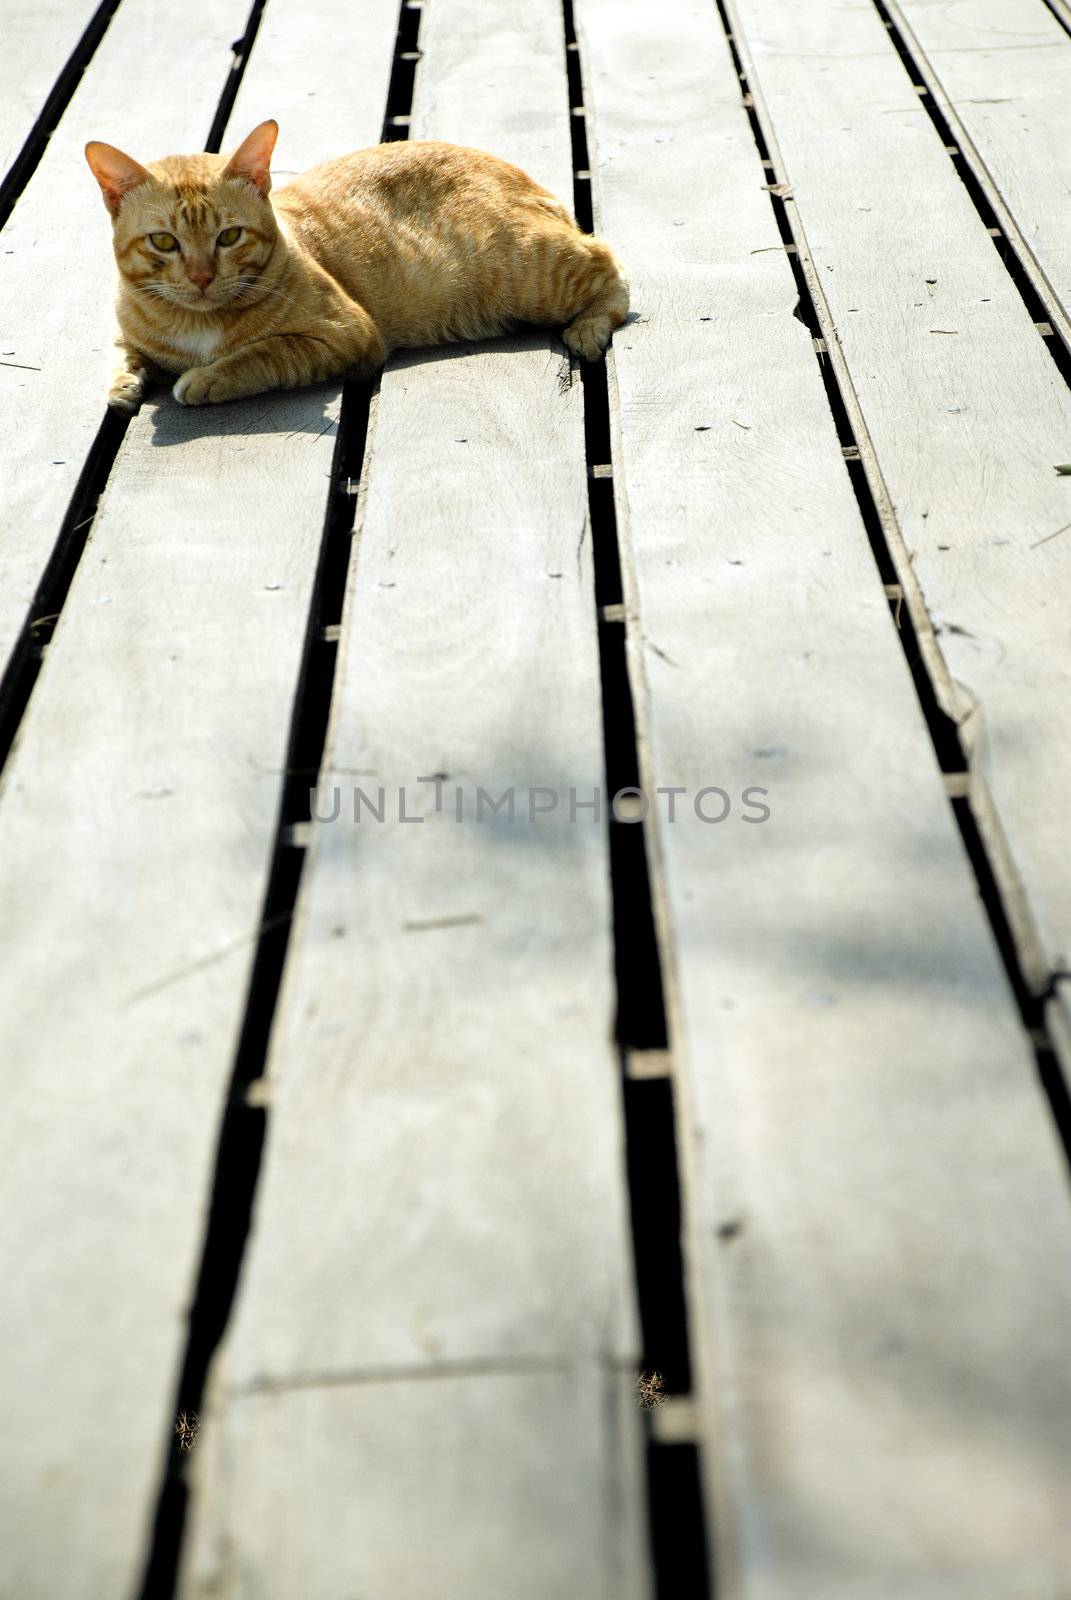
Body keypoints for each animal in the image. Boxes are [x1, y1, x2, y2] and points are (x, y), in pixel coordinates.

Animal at [87, 123, 630, 412]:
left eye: (229, 236)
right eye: (163, 242)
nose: (201, 278)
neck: (195, 323)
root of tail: (526, 179)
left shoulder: (344, 336)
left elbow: (257, 357)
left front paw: (205, 379)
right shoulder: (128, 333)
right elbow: (124, 355)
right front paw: (124, 384)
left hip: (534, 271)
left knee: (610, 267)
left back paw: (587, 329)